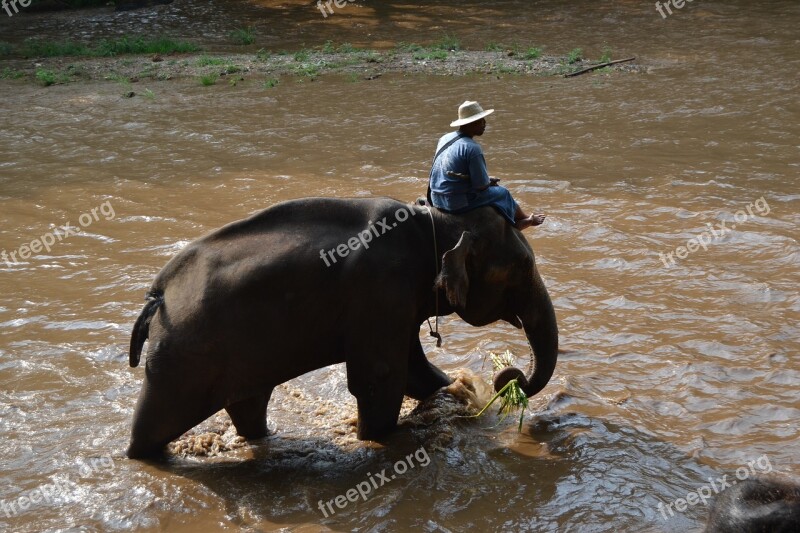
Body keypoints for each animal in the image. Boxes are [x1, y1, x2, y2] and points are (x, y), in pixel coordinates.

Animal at [128, 195, 560, 458]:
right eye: (522, 267)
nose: (510, 377)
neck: (431, 222)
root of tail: (157, 296)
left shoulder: (397, 305)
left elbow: (417, 374)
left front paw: (456, 391)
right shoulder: (382, 292)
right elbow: (380, 381)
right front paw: (376, 439)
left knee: (248, 406)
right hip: (179, 360)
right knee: (153, 427)